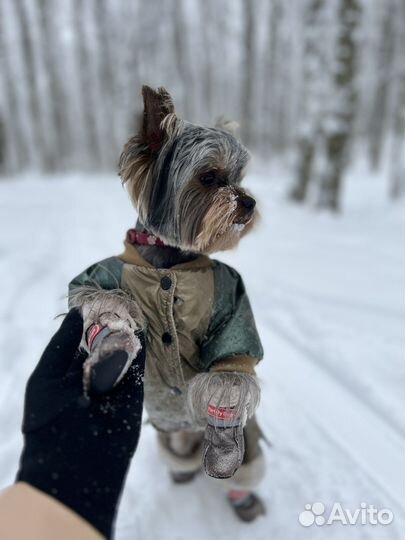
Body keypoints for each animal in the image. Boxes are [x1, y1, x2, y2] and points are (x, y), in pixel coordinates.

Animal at [68, 86, 266, 520]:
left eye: (239, 178)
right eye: (209, 177)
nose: (249, 203)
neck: (172, 259)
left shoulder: (230, 296)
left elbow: (232, 360)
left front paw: (225, 397)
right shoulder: (101, 276)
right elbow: (95, 300)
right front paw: (112, 347)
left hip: (248, 448)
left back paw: (240, 495)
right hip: (168, 436)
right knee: (178, 452)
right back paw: (182, 471)